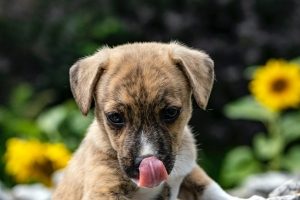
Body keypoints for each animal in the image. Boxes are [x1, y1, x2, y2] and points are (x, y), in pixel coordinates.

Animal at [53, 41, 260, 199]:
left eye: (170, 112)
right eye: (115, 117)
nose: (147, 160)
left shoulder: (187, 170)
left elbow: (209, 186)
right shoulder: (103, 189)